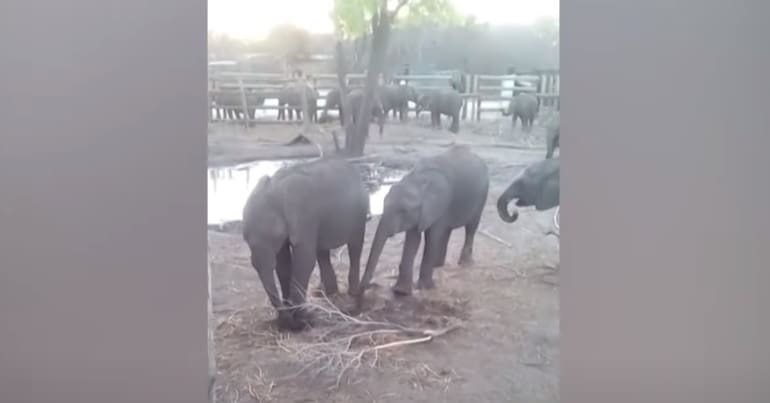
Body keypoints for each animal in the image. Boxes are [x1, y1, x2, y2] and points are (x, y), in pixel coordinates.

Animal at [243, 158, 368, 332]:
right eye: (245, 238)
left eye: (272, 237)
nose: (284, 322)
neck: (275, 189)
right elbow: (283, 264)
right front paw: (292, 319)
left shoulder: (305, 216)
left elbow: (304, 260)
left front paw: (302, 321)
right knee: (322, 252)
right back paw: (330, 293)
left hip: (359, 213)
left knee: (355, 246)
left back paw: (351, 294)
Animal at [354, 146, 486, 306]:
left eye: (403, 210)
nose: (361, 295)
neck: (418, 180)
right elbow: (413, 239)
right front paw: (401, 292)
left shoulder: (438, 204)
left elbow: (432, 237)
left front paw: (424, 288)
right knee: (447, 231)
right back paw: (438, 265)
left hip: (481, 195)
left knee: (471, 227)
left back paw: (465, 264)